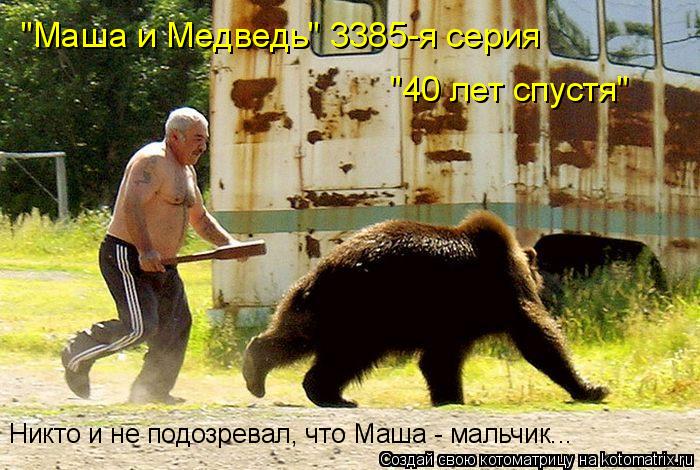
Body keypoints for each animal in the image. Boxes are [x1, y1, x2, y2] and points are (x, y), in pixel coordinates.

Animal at [243, 211, 609, 407]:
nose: (544, 282)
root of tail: (324, 268)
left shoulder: (452, 321)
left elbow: (439, 361)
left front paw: (450, 396)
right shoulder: (499, 291)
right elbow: (537, 336)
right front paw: (592, 387)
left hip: (320, 305)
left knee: (295, 336)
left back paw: (259, 372)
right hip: (367, 307)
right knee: (349, 355)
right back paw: (328, 393)